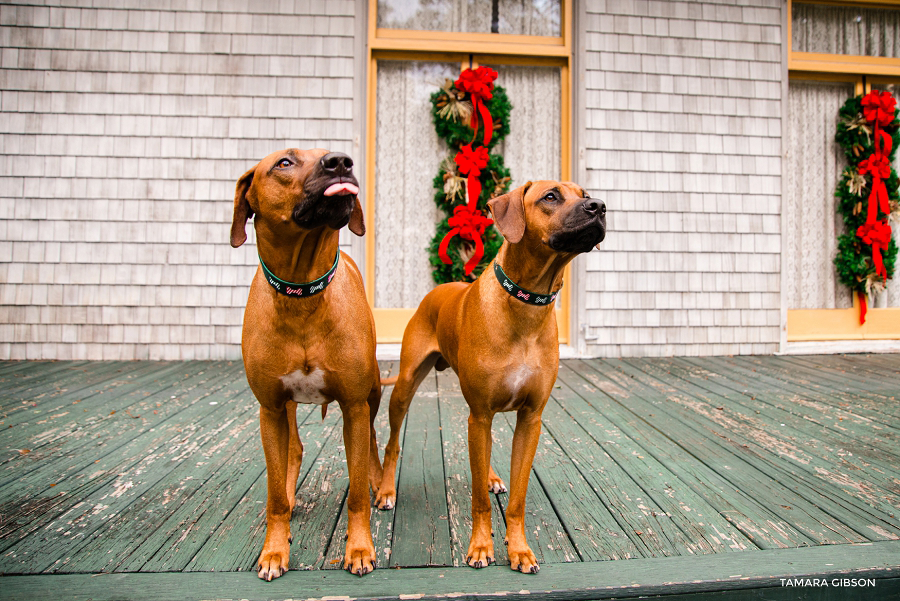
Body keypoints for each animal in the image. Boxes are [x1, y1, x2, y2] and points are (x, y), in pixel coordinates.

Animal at [230, 148, 382, 580]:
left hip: (373, 394)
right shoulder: (269, 408)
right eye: (284, 163)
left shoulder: (354, 405)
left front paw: (360, 549)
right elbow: (274, 495)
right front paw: (274, 550)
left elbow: (356, 492)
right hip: (283, 410)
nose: (342, 162)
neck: (302, 294)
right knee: (294, 448)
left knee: (372, 443)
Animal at [372, 182, 604, 572]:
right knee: (392, 443)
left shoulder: (530, 419)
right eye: (551, 197)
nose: (599, 206)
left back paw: (493, 475)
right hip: (405, 386)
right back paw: (387, 489)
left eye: (584, 194)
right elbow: (479, 498)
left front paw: (520, 548)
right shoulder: (479, 414)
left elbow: (518, 498)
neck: (527, 304)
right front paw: (481, 546)